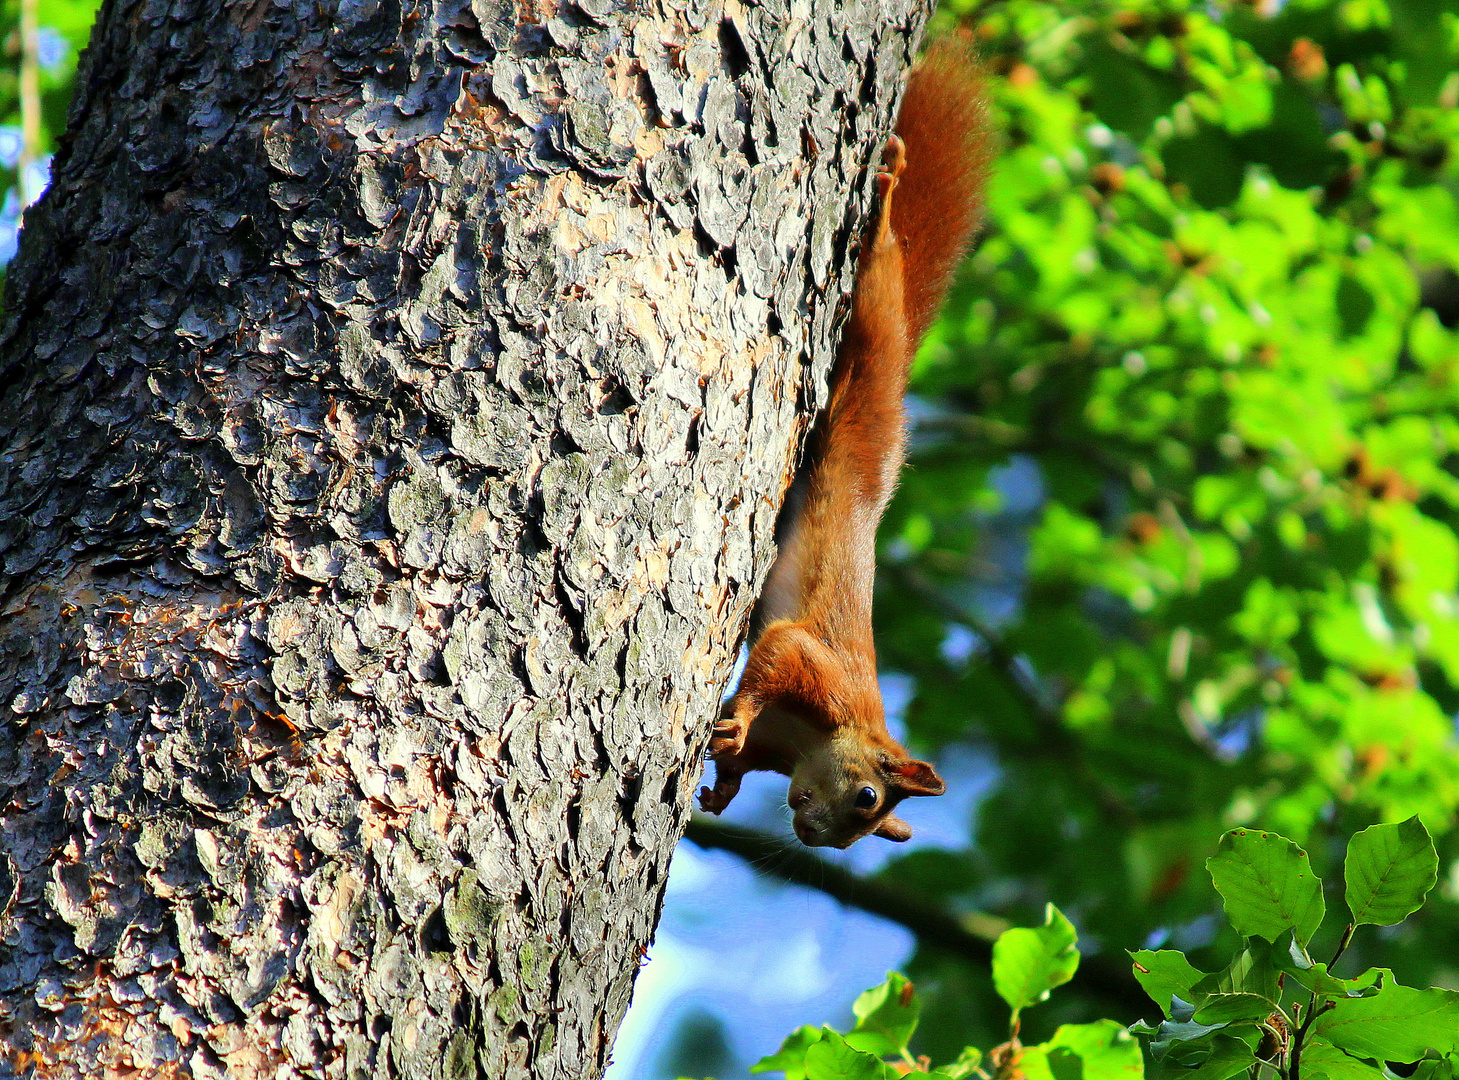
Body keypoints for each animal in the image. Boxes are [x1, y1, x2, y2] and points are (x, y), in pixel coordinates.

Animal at [697, 37, 992, 846]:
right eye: (867, 798)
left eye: (861, 832)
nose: (811, 834)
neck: (813, 740)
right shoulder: (819, 671)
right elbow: (774, 655)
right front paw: (735, 722)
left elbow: (744, 759)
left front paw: (725, 786)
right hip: (872, 339)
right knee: (880, 280)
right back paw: (886, 197)